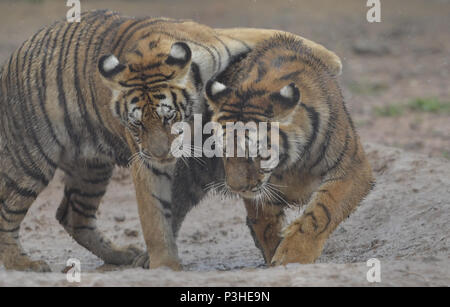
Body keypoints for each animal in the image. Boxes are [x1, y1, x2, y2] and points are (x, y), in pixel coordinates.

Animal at [0, 9, 342, 272]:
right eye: (136, 123)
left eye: (168, 117)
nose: (161, 154)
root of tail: (12, 60)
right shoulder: (145, 162)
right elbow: (154, 216)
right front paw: (165, 266)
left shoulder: (219, 39)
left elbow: (263, 32)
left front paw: (332, 59)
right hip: (30, 161)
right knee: (7, 211)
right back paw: (25, 264)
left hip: (91, 169)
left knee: (72, 214)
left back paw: (120, 255)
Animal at [192, 33, 374, 264]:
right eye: (223, 150)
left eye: (255, 152)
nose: (236, 188)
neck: (293, 164)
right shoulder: (262, 190)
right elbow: (266, 224)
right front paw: (275, 257)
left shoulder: (352, 167)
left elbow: (323, 210)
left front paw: (293, 256)